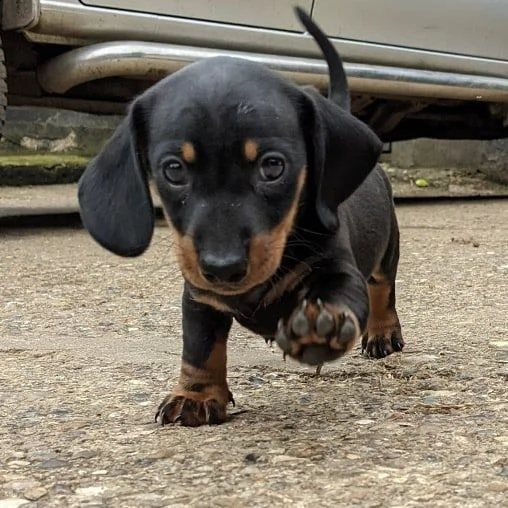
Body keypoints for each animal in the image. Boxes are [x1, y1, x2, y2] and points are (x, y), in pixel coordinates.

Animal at [78, 8, 404, 428]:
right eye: (173, 170)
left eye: (273, 166)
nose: (223, 267)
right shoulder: (199, 297)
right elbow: (200, 346)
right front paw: (196, 395)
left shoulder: (338, 267)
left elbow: (340, 294)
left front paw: (322, 326)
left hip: (388, 248)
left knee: (383, 287)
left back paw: (383, 333)